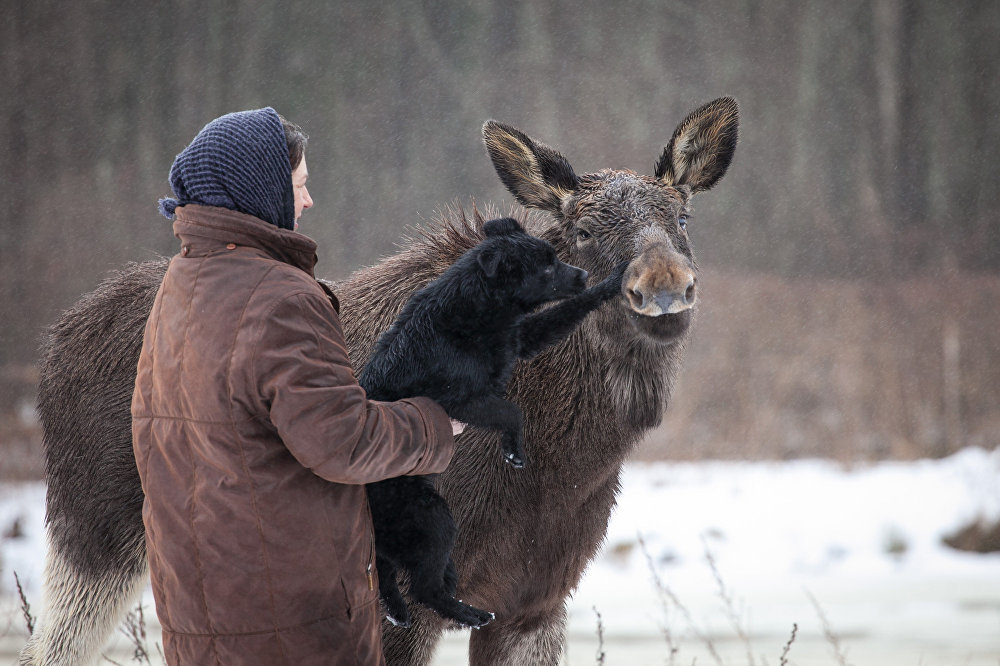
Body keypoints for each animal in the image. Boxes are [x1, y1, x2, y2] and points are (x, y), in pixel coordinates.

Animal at [360, 218, 624, 628]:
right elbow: (511, 412)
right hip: (431, 517)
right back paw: (469, 613)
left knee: (389, 575)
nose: (582, 274)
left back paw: (400, 612)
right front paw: (514, 451)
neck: (473, 310)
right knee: (424, 588)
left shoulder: (519, 339)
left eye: (555, 258)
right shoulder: (461, 400)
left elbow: (571, 309)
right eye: (546, 267)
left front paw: (613, 281)